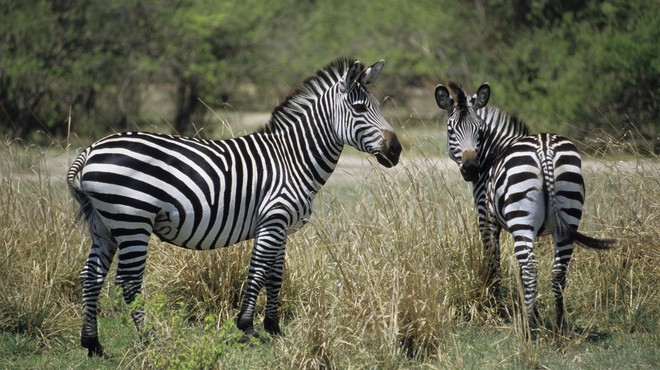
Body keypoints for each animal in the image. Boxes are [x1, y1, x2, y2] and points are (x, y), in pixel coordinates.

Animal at [69, 57, 404, 356]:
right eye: (359, 108)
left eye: (377, 106)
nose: (396, 150)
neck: (293, 158)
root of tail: (89, 151)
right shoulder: (273, 220)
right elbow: (257, 272)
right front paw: (247, 327)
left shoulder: (280, 225)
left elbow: (275, 275)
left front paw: (274, 328)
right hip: (132, 220)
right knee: (128, 282)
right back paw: (151, 340)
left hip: (104, 224)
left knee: (91, 276)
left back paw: (93, 345)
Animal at [434, 81, 612, 332]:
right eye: (451, 131)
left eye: (479, 130)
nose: (471, 169)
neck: (493, 153)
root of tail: (545, 150)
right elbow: (516, 268)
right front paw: (531, 309)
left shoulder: (486, 218)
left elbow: (492, 260)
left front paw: (492, 302)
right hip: (567, 214)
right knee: (557, 271)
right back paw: (558, 325)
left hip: (522, 220)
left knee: (530, 268)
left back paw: (529, 328)